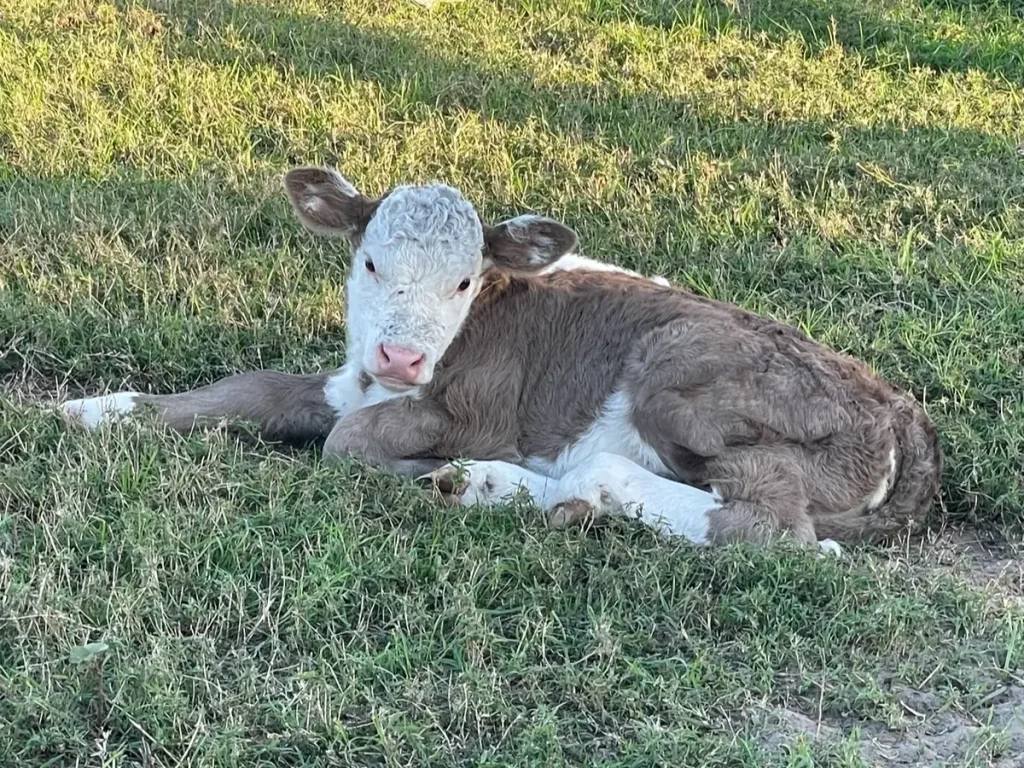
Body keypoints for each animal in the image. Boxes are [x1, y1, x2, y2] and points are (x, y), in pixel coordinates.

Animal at [60, 167, 942, 554]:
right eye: (371, 262)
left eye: (462, 279)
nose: (403, 355)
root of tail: (906, 416)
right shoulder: (348, 380)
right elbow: (247, 389)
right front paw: (95, 410)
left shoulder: (477, 411)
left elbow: (347, 446)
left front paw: (419, 468)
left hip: (680, 377)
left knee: (776, 528)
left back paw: (522, 486)